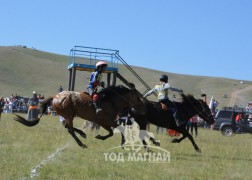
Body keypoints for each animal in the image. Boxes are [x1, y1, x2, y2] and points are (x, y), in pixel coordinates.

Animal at [13, 83, 144, 148]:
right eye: (138, 97)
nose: (143, 109)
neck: (110, 101)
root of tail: (55, 97)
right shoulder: (104, 122)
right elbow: (115, 131)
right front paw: (107, 139)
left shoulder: (107, 122)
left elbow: (116, 130)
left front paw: (120, 142)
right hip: (69, 115)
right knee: (70, 130)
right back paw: (82, 144)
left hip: (69, 116)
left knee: (68, 127)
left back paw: (82, 134)